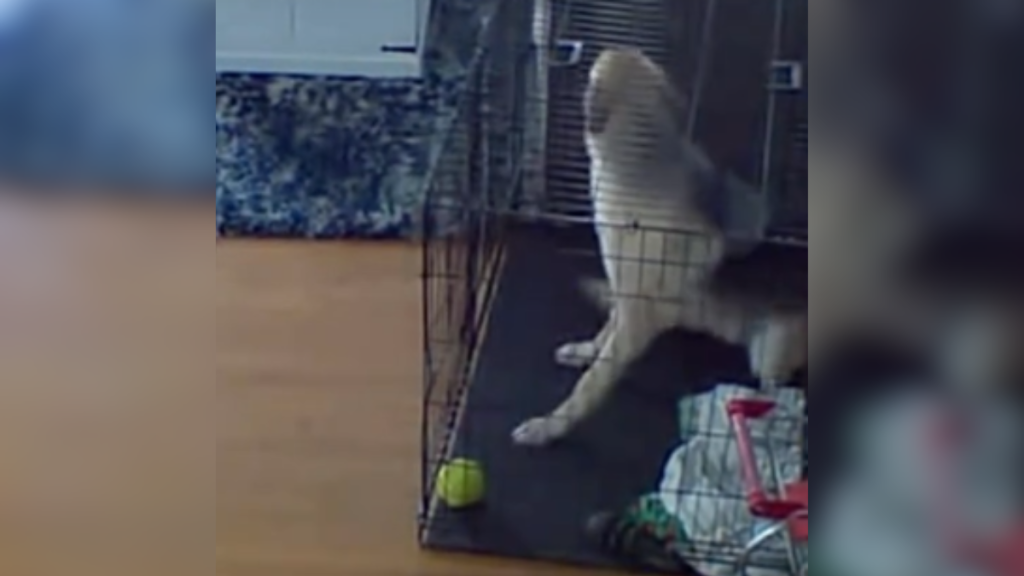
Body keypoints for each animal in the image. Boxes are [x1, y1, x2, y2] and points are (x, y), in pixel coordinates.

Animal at [512, 48, 806, 444]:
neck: (642, 168)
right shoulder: (625, 293)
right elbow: (605, 331)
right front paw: (587, 350)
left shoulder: (636, 320)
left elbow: (590, 383)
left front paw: (551, 426)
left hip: (772, 348)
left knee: (779, 394)